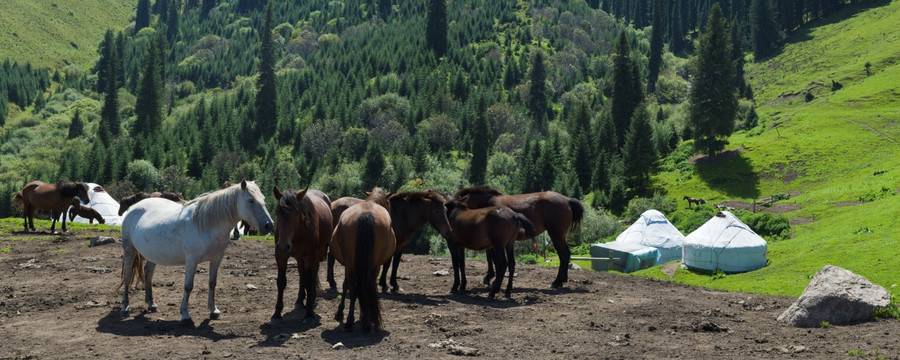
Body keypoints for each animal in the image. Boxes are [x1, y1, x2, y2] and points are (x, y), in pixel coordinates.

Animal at [119, 180, 274, 324]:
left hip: (153, 254)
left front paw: (214, 311)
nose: (269, 225)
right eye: (250, 200)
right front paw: (185, 314)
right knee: (128, 276)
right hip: (129, 250)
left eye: (264, 200)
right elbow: (188, 286)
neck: (207, 225)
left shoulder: (217, 258)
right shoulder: (192, 260)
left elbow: (212, 283)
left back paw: (151, 304)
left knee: (148, 272)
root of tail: (133, 208)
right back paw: (125, 307)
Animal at [272, 186, 336, 324]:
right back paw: (300, 301)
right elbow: (281, 282)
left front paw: (309, 314)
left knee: (312, 275)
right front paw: (276, 314)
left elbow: (309, 280)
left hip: (316, 254)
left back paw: (311, 299)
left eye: (296, 213)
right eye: (277, 212)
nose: (284, 246)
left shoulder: (309, 256)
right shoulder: (280, 256)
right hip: (299, 257)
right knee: (302, 274)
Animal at [326, 190, 458, 294]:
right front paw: (384, 284)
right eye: (436, 211)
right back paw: (332, 282)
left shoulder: (401, 246)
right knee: (331, 258)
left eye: (445, 209)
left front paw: (394, 285)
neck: (402, 216)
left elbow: (395, 264)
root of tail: (332, 204)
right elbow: (387, 264)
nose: (448, 231)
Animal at [330, 188, 394, 332]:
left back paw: (352, 321)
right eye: (388, 203)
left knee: (355, 286)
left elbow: (348, 286)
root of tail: (366, 215)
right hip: (372, 265)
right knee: (365, 285)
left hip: (353, 264)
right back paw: (363, 320)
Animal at [454, 187, 588, 288]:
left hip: (555, 235)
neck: (488, 204)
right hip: (560, 236)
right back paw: (562, 280)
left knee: (563, 254)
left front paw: (491, 279)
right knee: (567, 254)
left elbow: (493, 259)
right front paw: (489, 278)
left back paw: (556, 282)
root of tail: (567, 200)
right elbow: (490, 258)